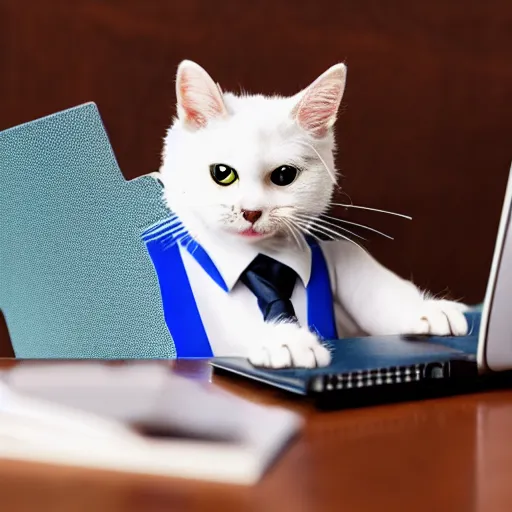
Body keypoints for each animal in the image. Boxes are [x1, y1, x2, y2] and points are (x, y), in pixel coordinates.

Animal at [157, 60, 468, 368]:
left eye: (284, 175)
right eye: (222, 173)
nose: (251, 212)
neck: (263, 259)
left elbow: (378, 295)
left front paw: (423, 309)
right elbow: (226, 329)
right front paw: (285, 340)